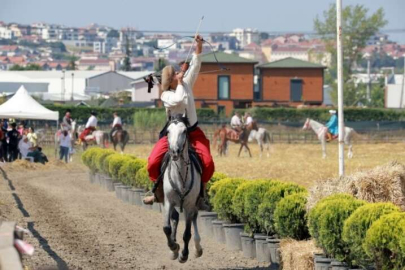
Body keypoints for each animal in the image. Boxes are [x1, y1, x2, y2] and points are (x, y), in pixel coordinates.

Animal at [163, 114, 204, 264]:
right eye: (168, 131)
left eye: (185, 131)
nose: (175, 151)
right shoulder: (168, 202)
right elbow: (167, 228)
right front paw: (173, 247)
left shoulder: (189, 204)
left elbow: (187, 233)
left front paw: (184, 255)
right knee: (174, 218)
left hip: (193, 204)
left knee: (194, 218)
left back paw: (197, 248)